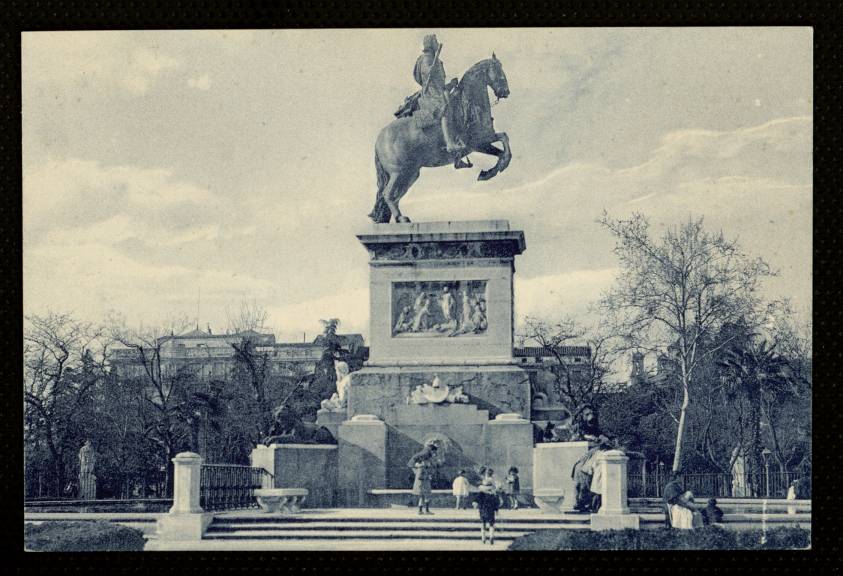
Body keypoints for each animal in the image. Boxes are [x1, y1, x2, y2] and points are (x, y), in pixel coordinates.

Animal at [370, 55, 516, 223]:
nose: (506, 91)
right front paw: (498, 167)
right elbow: (504, 138)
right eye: (498, 69)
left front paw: (490, 171)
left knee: (395, 196)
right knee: (387, 194)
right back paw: (401, 218)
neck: (469, 105)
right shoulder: (478, 142)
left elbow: (502, 147)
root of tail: (379, 139)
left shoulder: (483, 143)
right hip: (398, 172)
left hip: (410, 173)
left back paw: (400, 218)